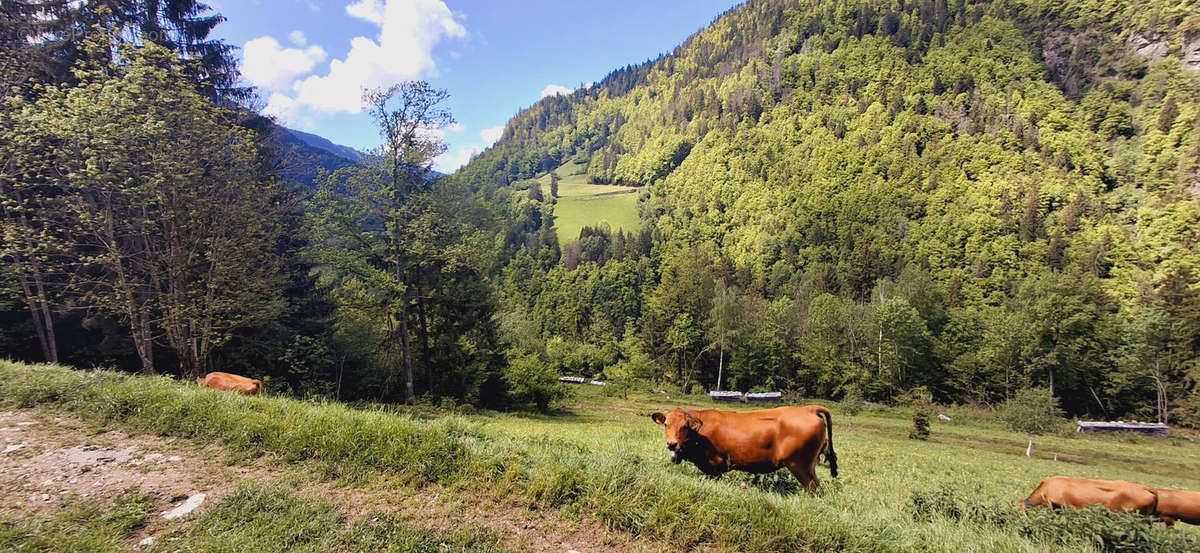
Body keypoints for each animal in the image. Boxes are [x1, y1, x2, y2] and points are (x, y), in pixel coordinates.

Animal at [652, 403, 840, 489]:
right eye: (666, 424)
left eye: (685, 426)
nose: (672, 443)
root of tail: (807, 408)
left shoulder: (715, 465)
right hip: (809, 466)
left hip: (800, 465)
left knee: (813, 488)